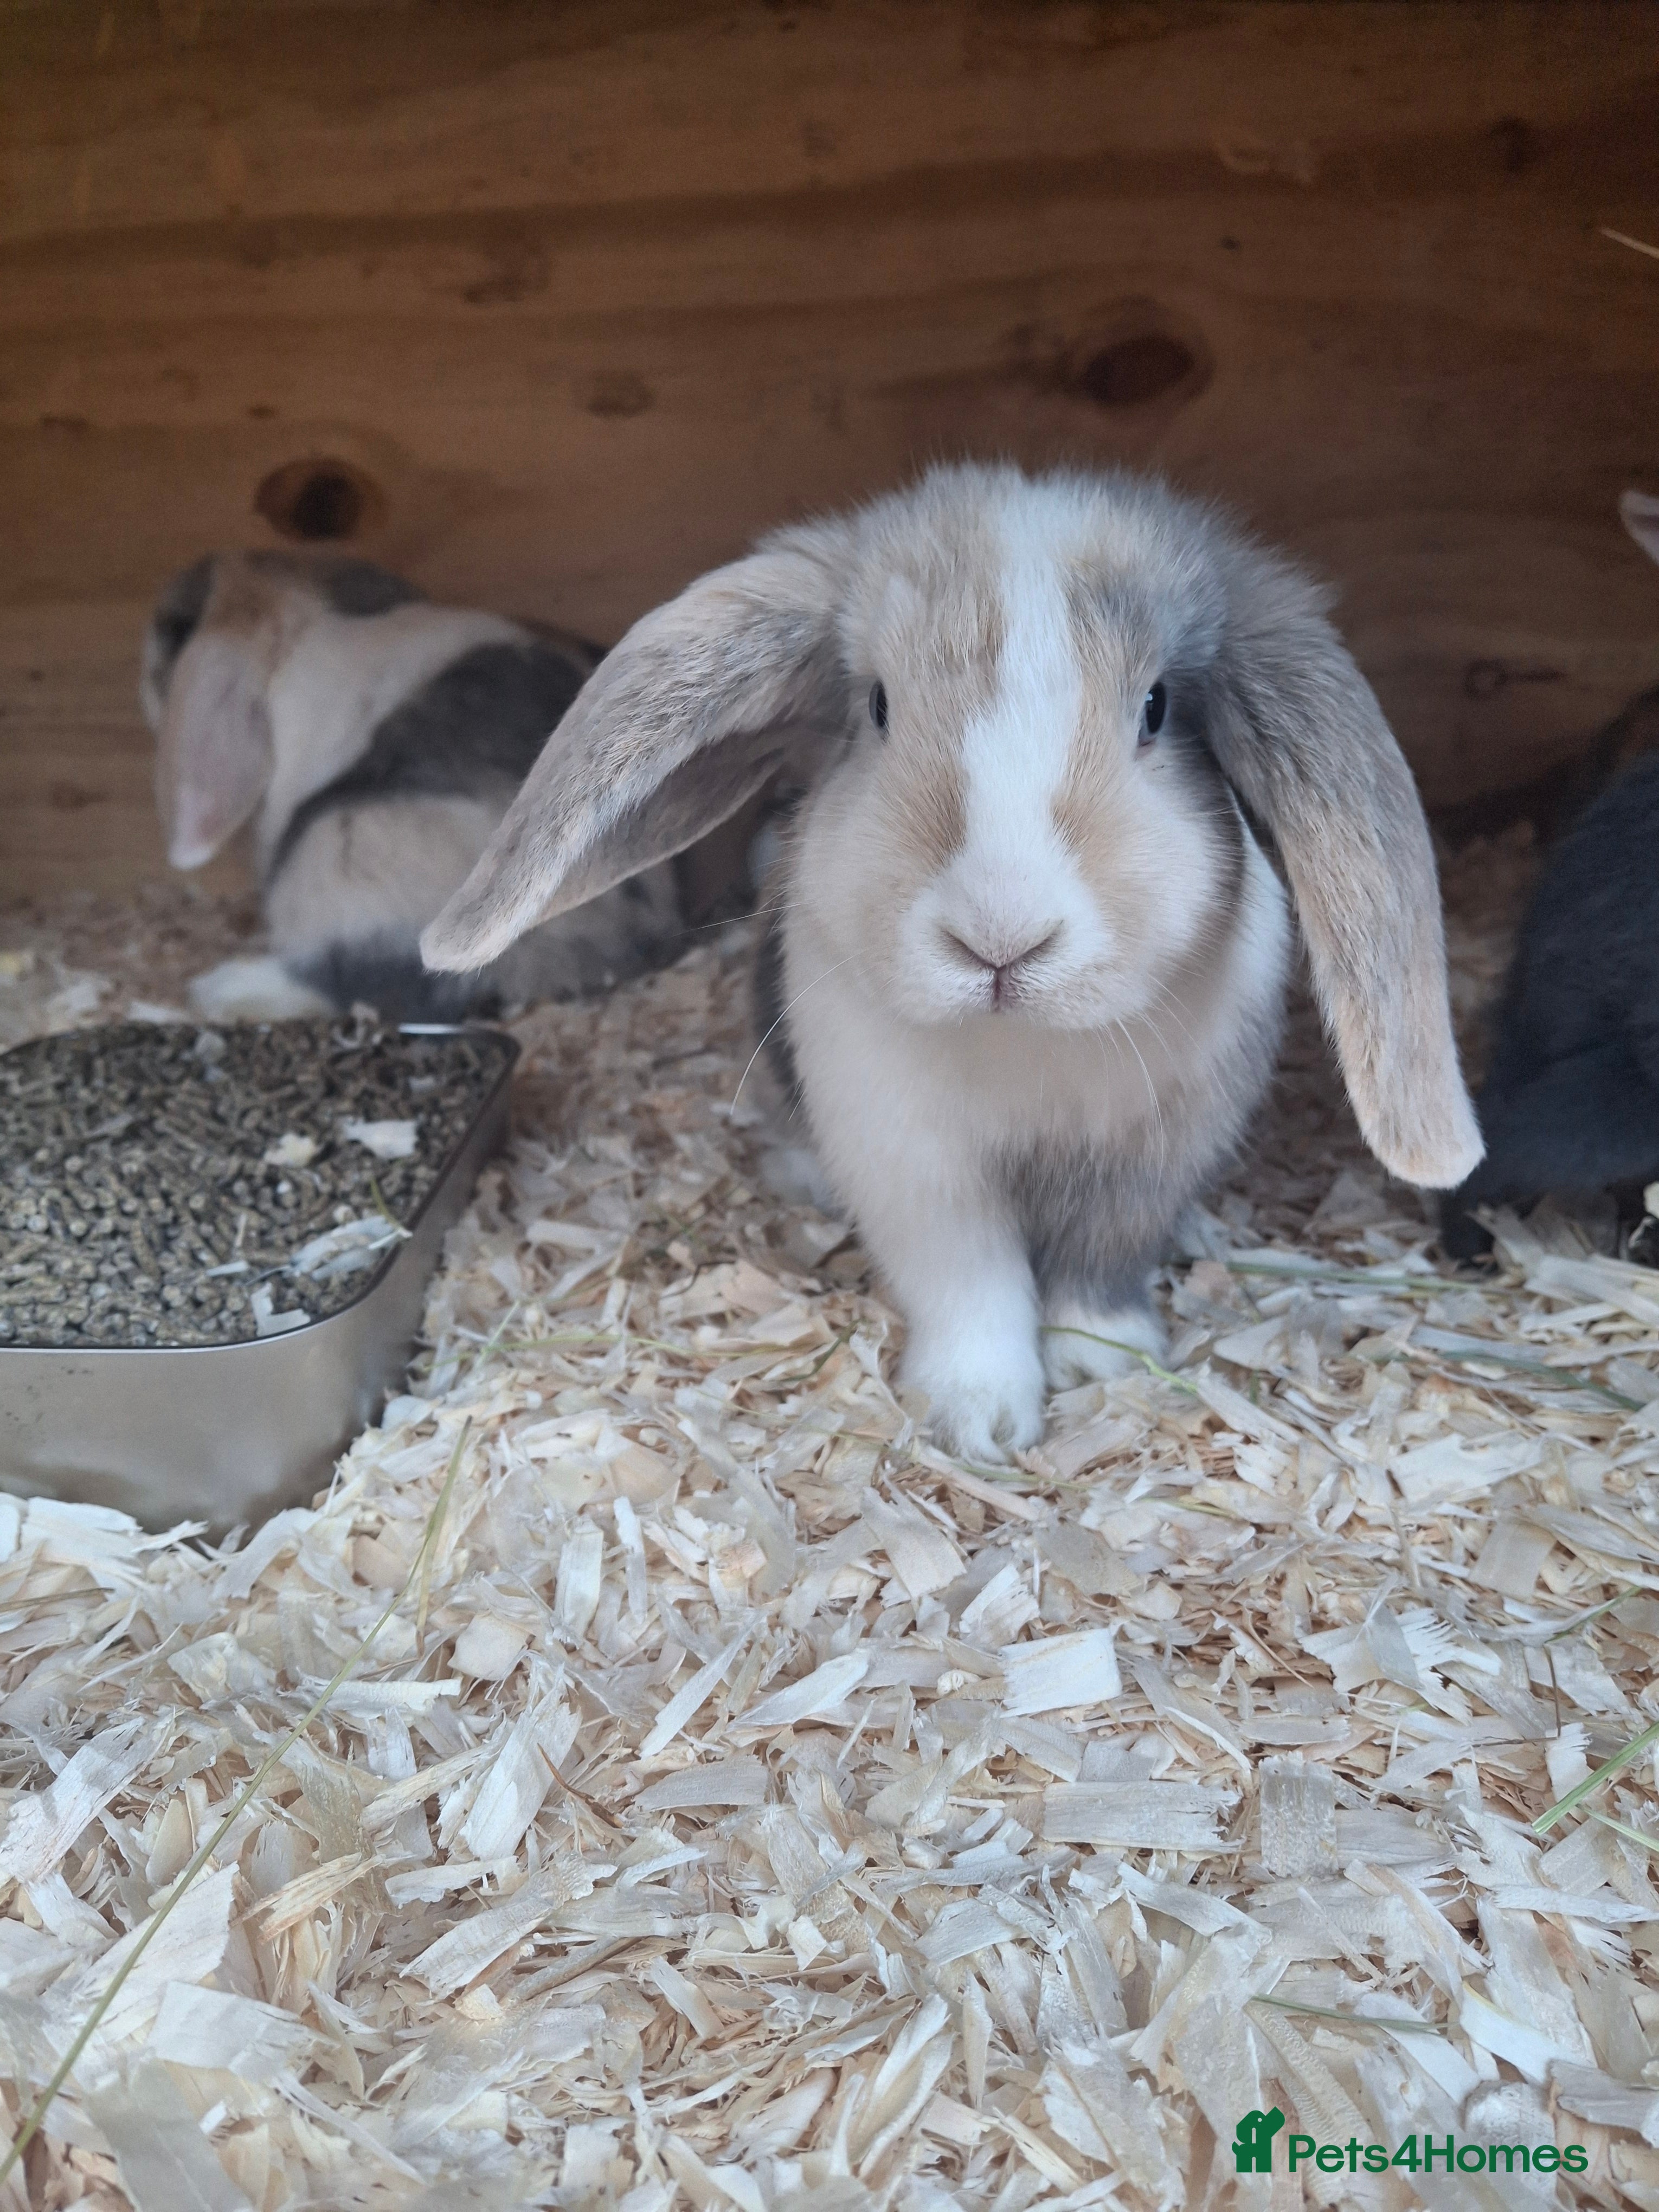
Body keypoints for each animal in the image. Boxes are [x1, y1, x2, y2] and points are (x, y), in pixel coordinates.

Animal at [421, 462, 1480, 1460]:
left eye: (1156, 708)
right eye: (879, 706)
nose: (1000, 938)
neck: (1021, 1045)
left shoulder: (1150, 1160)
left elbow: (1101, 1266)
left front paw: (1108, 1364)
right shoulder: (914, 1163)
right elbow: (969, 1281)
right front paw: (980, 1419)